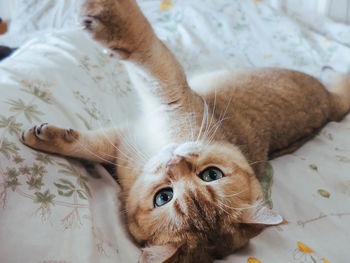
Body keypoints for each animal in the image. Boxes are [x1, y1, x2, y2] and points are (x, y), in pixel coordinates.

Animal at [21, 0, 350, 263]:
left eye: (163, 198)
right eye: (212, 175)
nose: (173, 162)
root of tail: (329, 105)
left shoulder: (168, 92)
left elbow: (144, 46)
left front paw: (107, 15)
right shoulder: (123, 143)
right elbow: (88, 145)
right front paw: (46, 138)